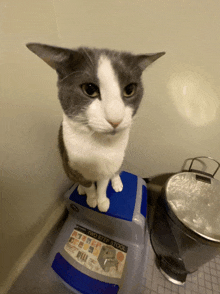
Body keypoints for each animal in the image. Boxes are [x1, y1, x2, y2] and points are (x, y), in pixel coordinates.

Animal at [26, 43, 165, 211]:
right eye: (90, 89)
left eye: (129, 90)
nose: (115, 120)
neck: (99, 144)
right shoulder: (73, 166)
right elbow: (89, 186)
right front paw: (91, 199)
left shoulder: (108, 166)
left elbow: (103, 185)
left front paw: (102, 201)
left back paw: (117, 182)